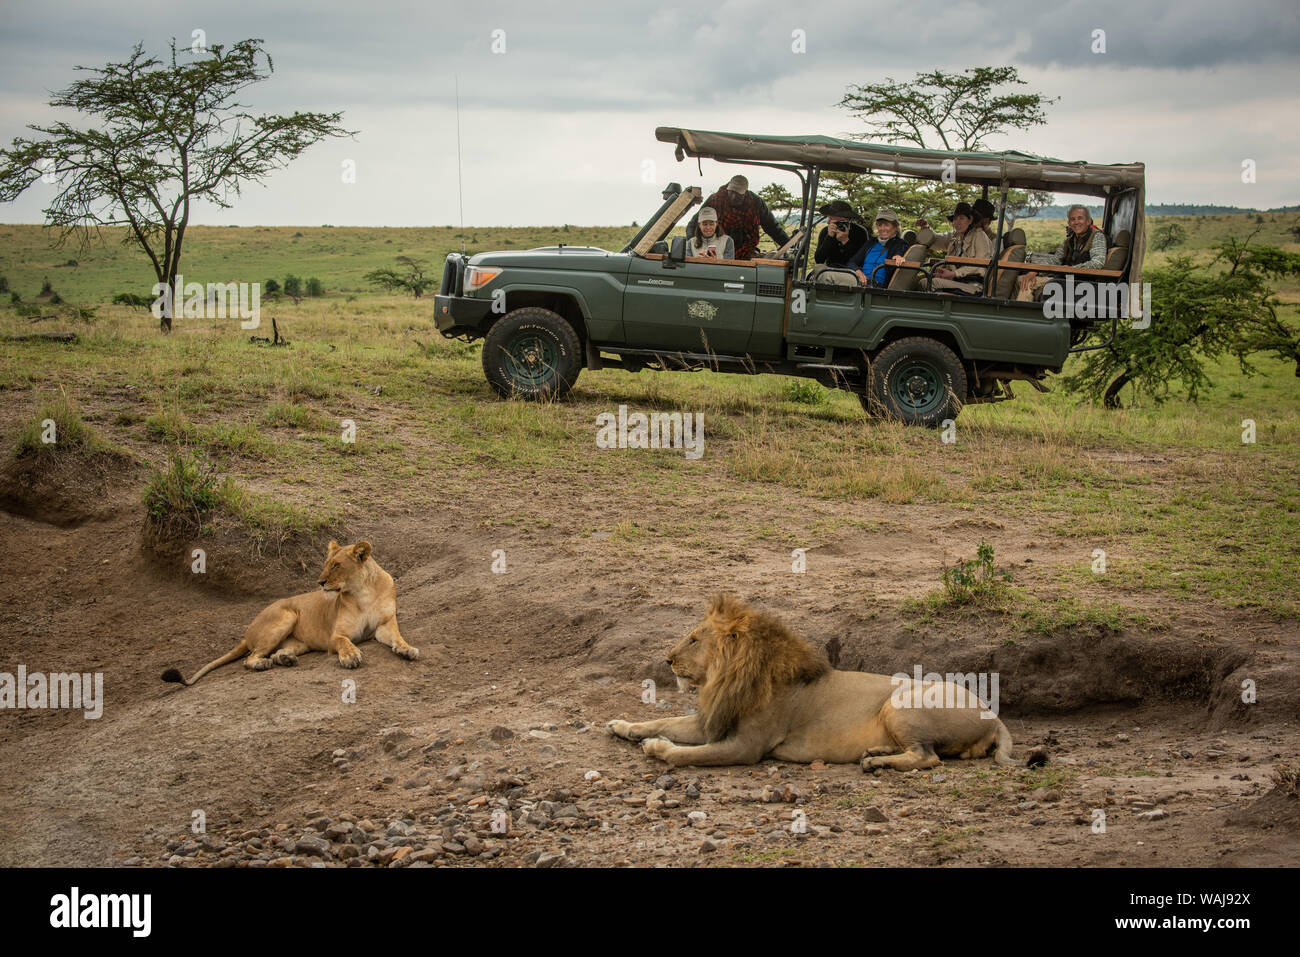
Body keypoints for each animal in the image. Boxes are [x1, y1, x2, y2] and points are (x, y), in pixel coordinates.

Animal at [161, 538, 416, 686]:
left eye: (336, 565)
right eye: (325, 564)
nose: (320, 582)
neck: (363, 591)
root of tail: (247, 632)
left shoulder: (384, 624)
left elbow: (397, 637)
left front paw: (407, 649)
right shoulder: (336, 635)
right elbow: (344, 643)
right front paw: (351, 656)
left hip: (298, 641)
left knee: (274, 652)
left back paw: (285, 658)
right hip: (287, 615)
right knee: (250, 658)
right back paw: (263, 664)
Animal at [608, 598, 1045, 769]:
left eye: (695, 639)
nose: (666, 660)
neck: (727, 678)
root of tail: (994, 715)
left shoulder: (746, 746)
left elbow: (685, 753)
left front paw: (656, 748)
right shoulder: (712, 722)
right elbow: (662, 721)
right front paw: (623, 726)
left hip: (900, 703)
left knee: (927, 757)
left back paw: (875, 763)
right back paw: (876, 751)